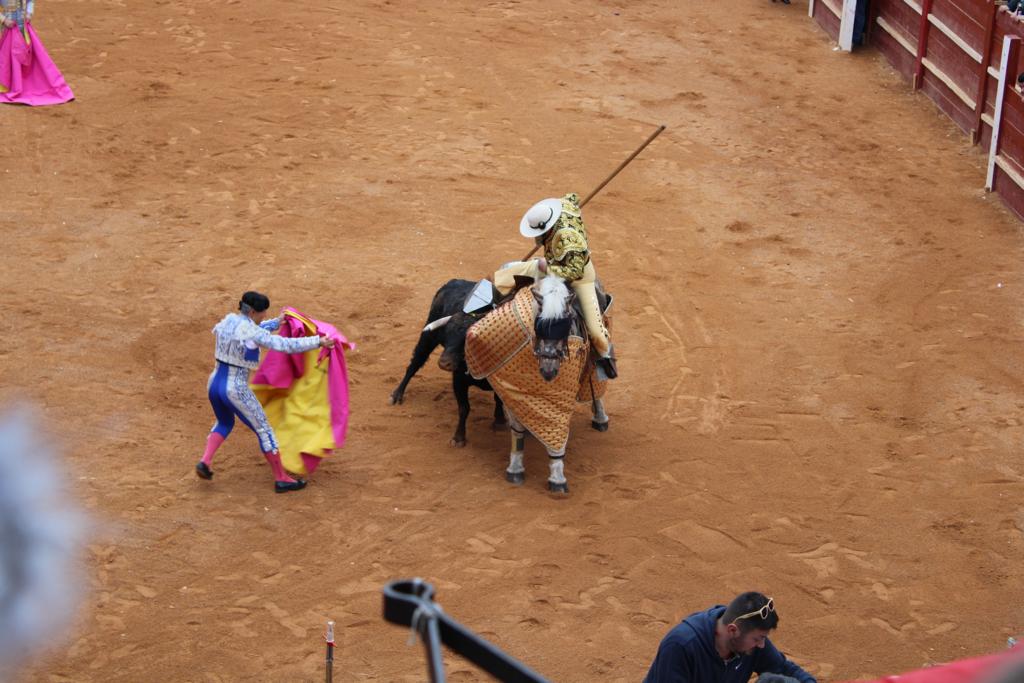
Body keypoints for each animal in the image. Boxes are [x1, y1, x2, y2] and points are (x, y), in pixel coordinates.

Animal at [389, 278, 505, 448]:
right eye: (446, 335)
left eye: (467, 339)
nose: (444, 363)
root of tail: (455, 281)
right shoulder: (458, 380)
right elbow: (464, 408)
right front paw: (458, 438)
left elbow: (499, 399)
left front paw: (499, 420)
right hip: (427, 338)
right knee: (414, 364)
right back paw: (397, 394)